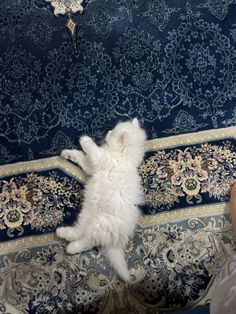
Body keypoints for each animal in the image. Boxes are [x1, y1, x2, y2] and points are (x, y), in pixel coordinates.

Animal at [56, 118, 147, 282]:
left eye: (112, 132)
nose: (108, 132)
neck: (123, 158)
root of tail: (117, 241)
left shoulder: (100, 159)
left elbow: (91, 150)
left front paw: (85, 139)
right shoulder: (93, 167)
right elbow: (81, 157)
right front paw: (68, 153)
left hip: (100, 225)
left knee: (88, 241)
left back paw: (70, 247)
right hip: (87, 216)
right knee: (79, 233)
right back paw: (63, 233)